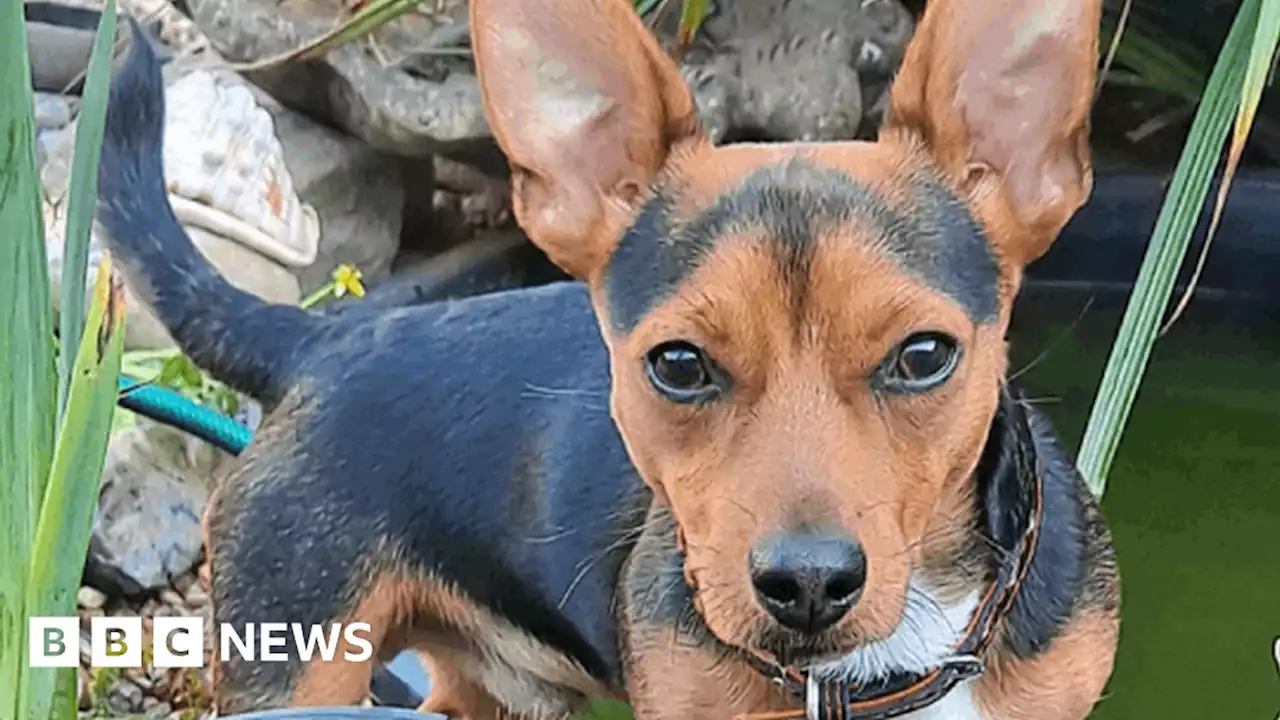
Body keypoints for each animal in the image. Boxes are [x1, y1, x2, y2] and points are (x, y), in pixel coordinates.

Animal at [102, 0, 1121, 712]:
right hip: (294, 659)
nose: (808, 585)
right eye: (678, 365)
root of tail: (324, 335)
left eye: (924, 355)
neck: (874, 673)